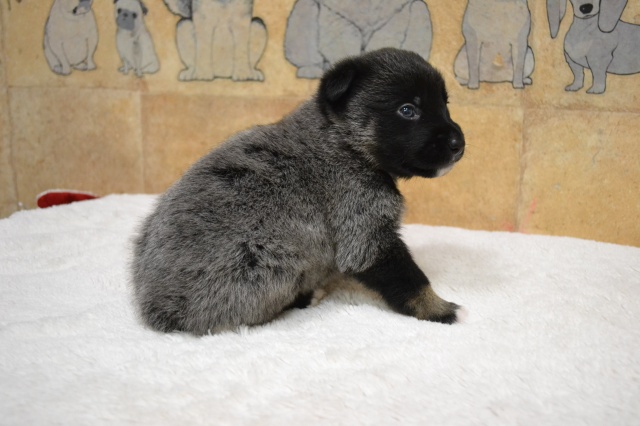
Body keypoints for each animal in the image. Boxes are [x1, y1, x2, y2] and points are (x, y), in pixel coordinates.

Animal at [132, 48, 466, 335]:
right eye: (408, 110)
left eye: (445, 104)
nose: (458, 144)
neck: (342, 139)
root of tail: (156, 308)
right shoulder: (364, 229)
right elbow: (410, 279)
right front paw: (436, 309)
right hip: (268, 262)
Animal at [285, 0, 433, 78]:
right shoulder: (335, 16)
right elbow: (345, 44)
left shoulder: (395, 16)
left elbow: (382, 41)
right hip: (304, 8)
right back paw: (311, 71)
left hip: (420, 9)